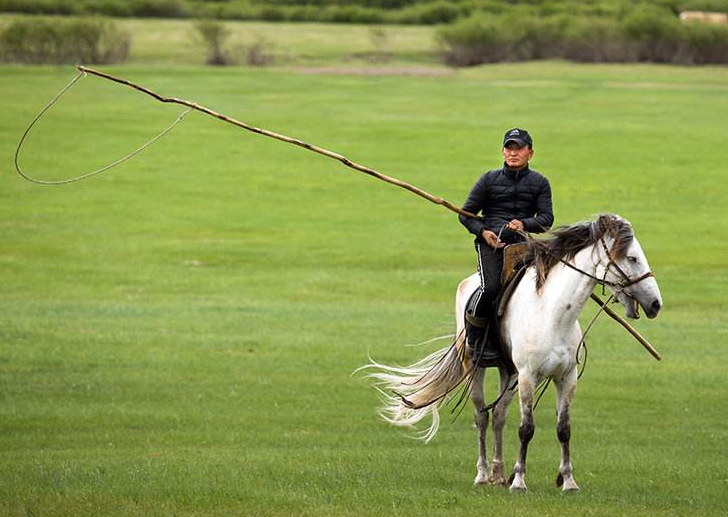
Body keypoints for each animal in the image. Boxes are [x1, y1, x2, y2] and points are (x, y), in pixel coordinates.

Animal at [362, 214, 664, 492]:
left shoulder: (566, 377)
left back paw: (498, 474)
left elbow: (563, 429)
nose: (655, 304)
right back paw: (483, 474)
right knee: (482, 417)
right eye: (633, 258)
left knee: (498, 416)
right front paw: (518, 481)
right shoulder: (529, 376)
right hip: (477, 368)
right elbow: (526, 428)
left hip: (509, 373)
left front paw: (568, 481)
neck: (553, 314)